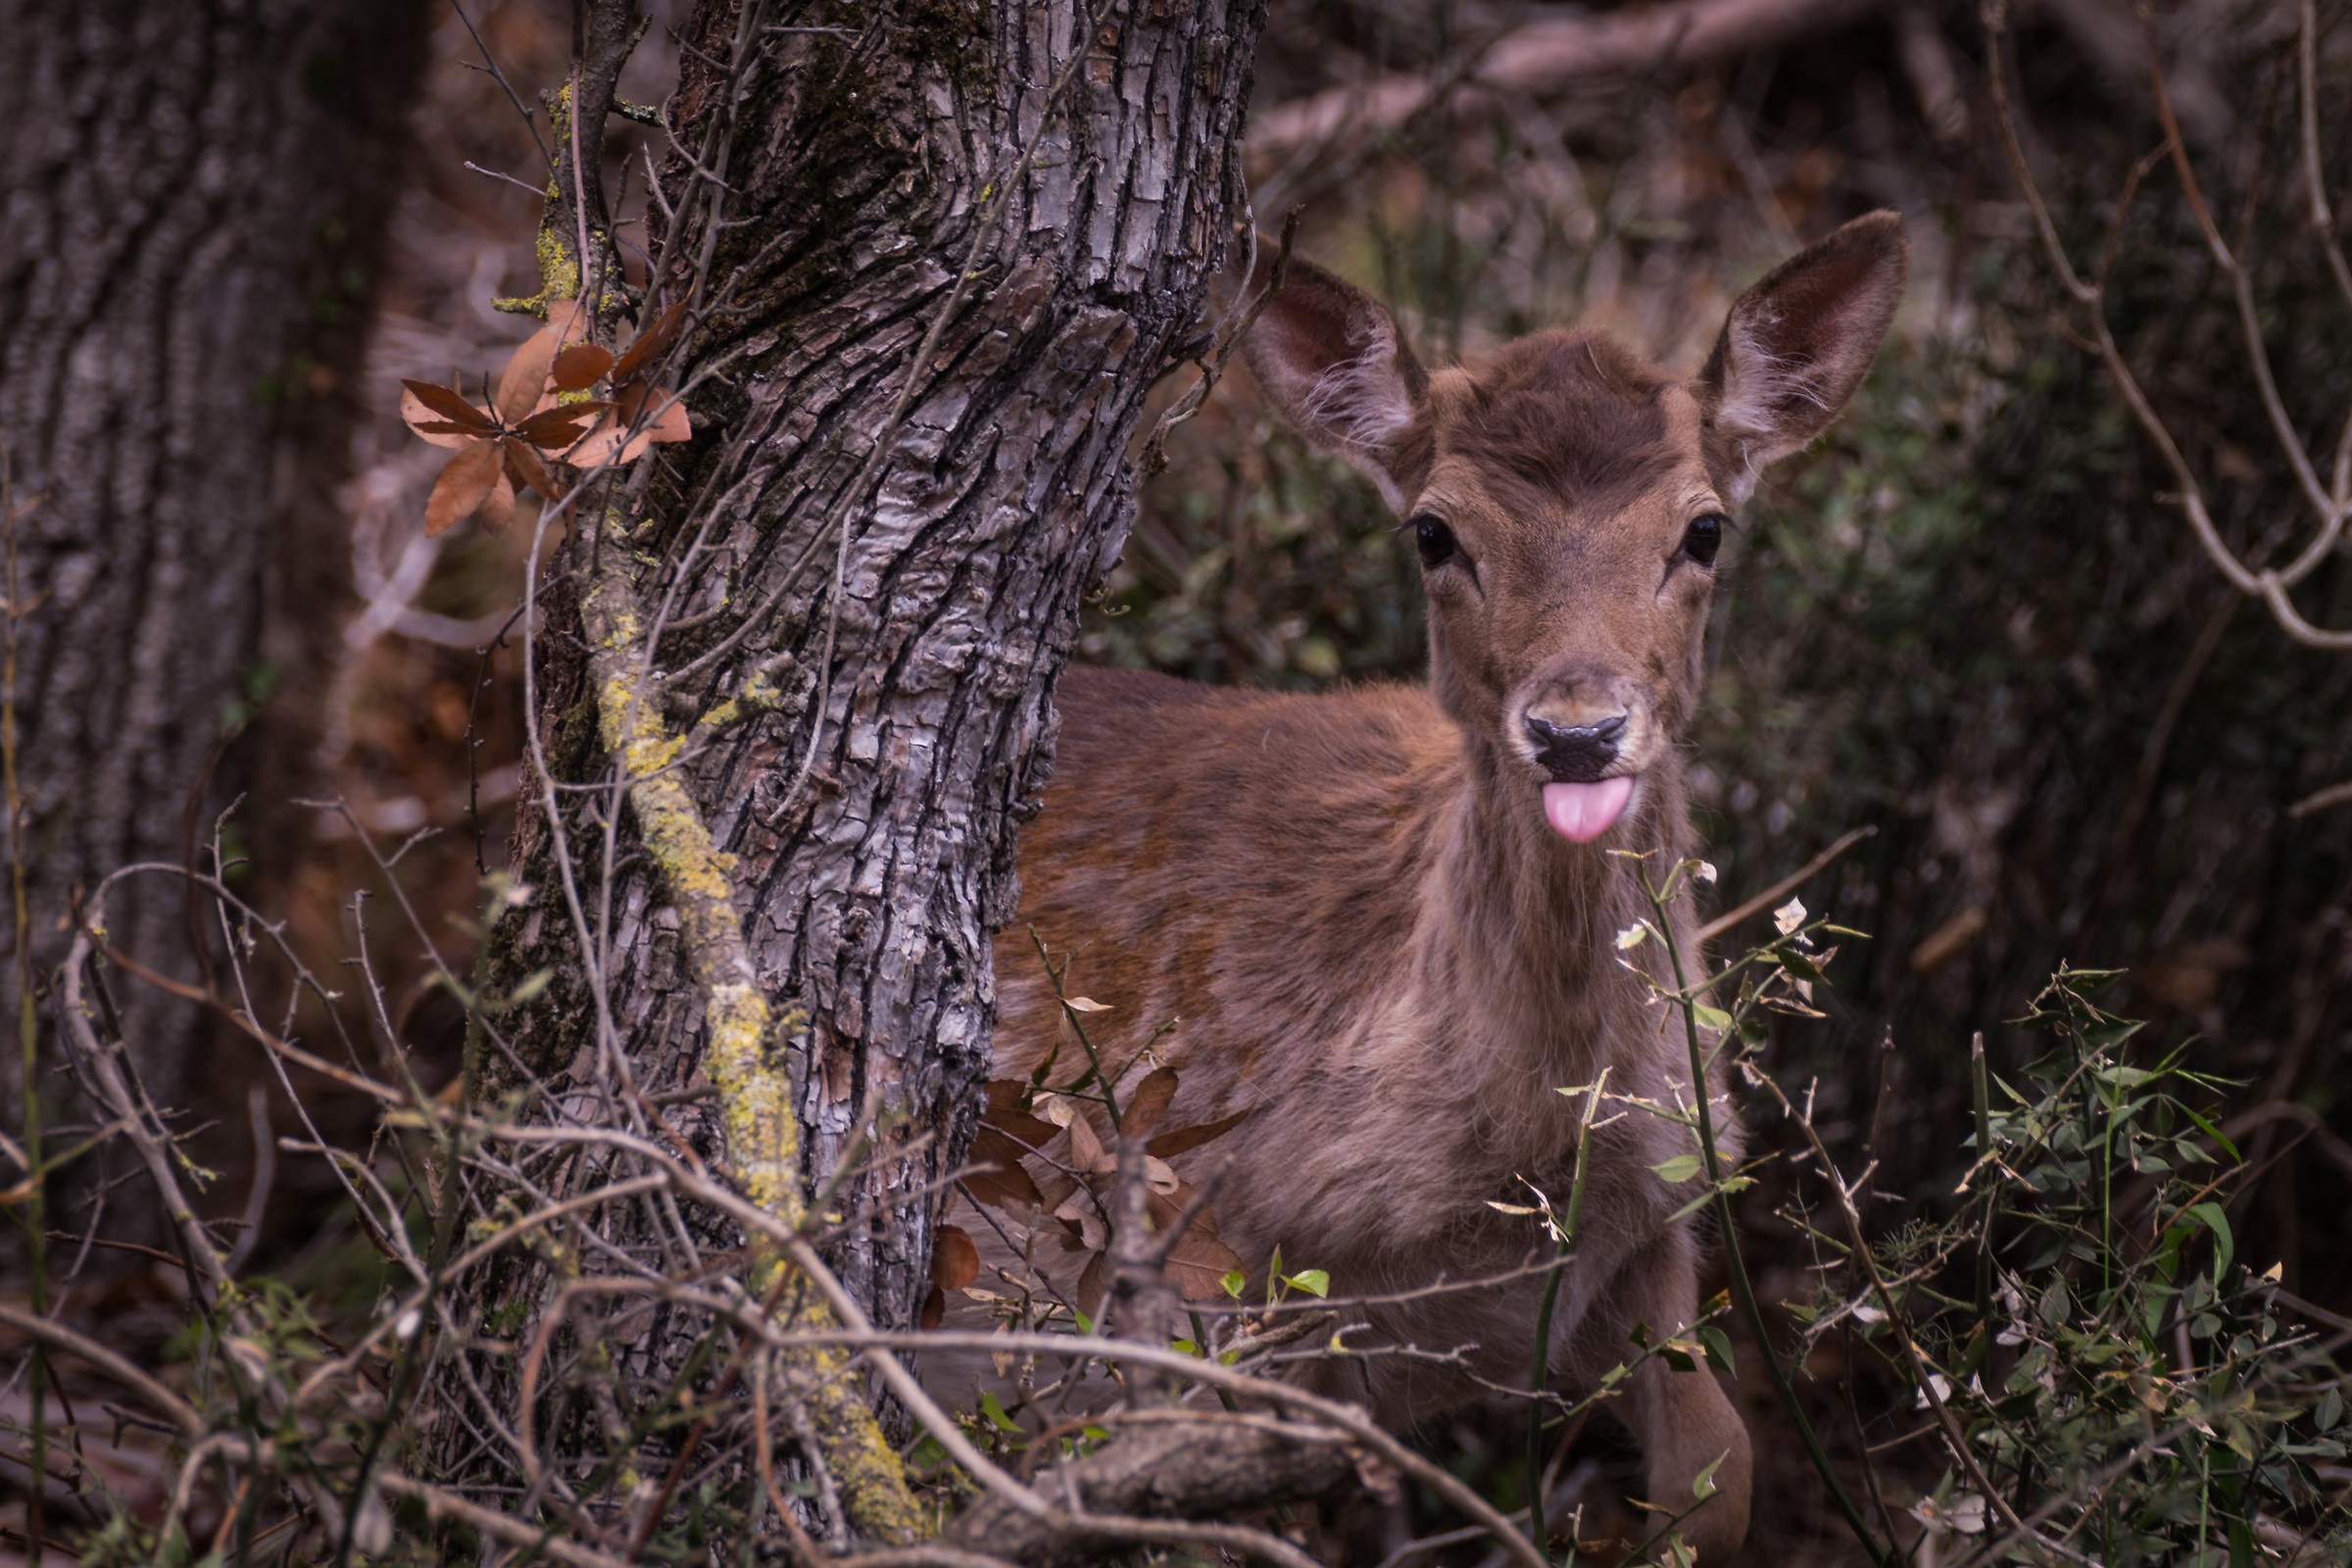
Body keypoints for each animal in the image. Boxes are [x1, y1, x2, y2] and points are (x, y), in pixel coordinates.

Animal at [940, 212, 1908, 1561]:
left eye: (1705, 528)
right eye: (1435, 532)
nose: (1575, 731)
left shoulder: (1655, 1229)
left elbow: (1723, 1468)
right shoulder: (1202, 1272)